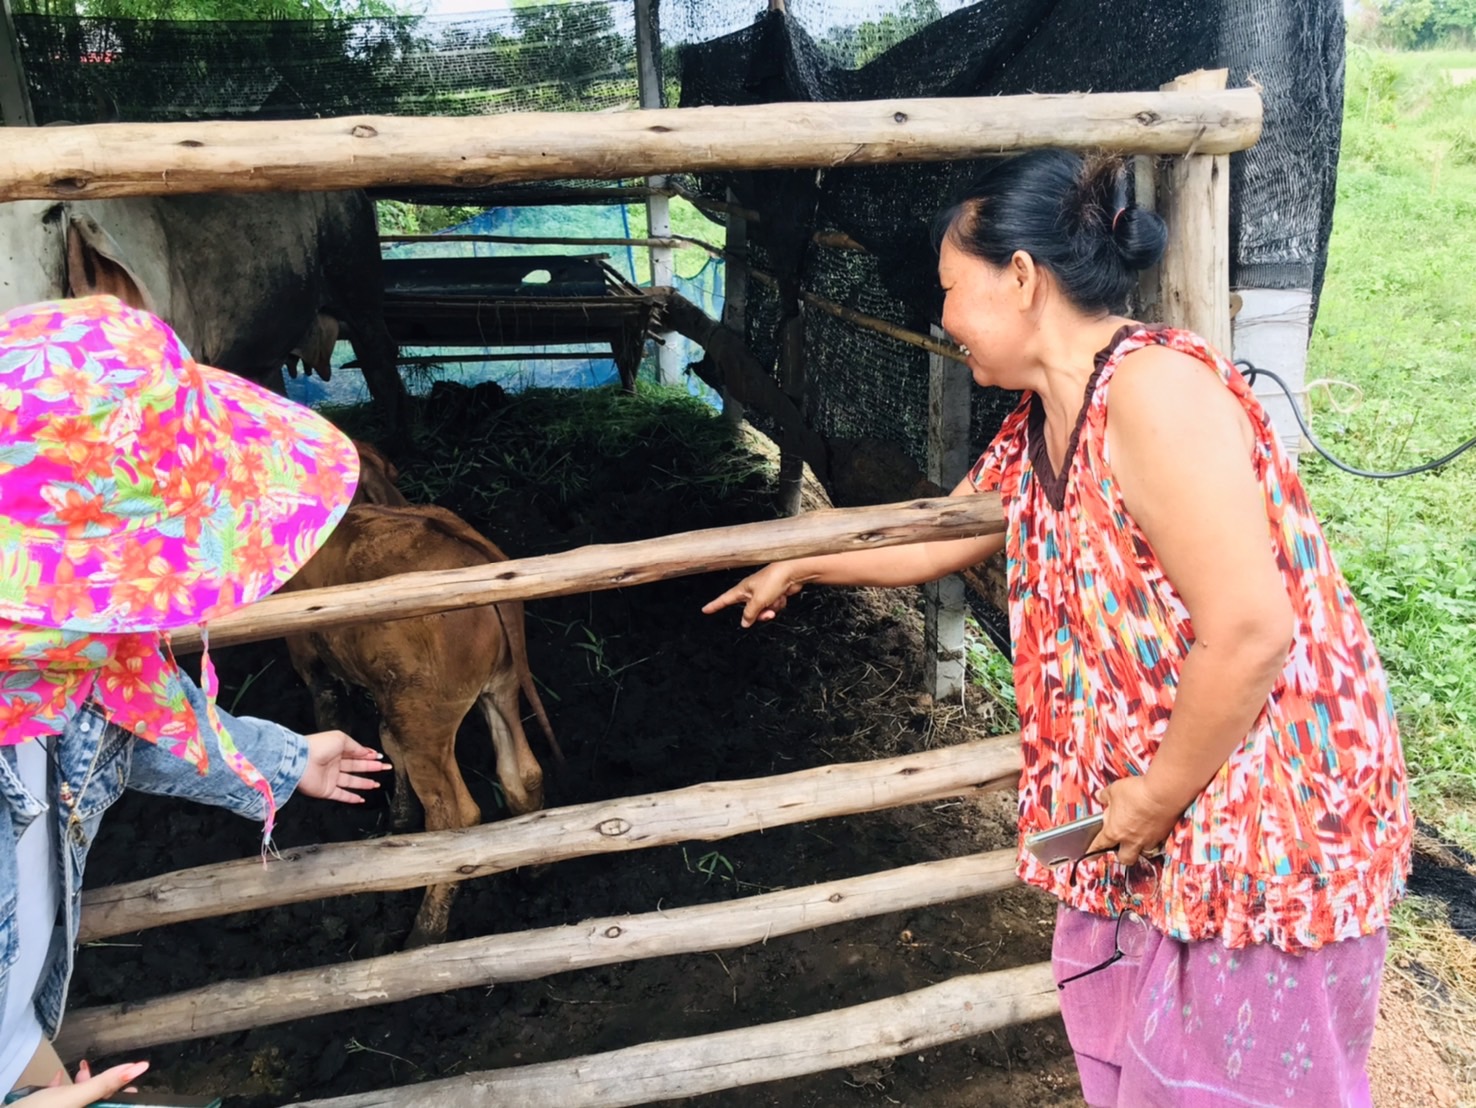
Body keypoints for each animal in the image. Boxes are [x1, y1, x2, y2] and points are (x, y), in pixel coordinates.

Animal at [283, 501, 557, 944]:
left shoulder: (308, 651)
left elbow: (329, 705)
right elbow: (386, 739)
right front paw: (399, 817)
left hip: (426, 719)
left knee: (455, 816)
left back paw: (425, 931)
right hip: (496, 689)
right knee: (521, 775)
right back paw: (534, 871)